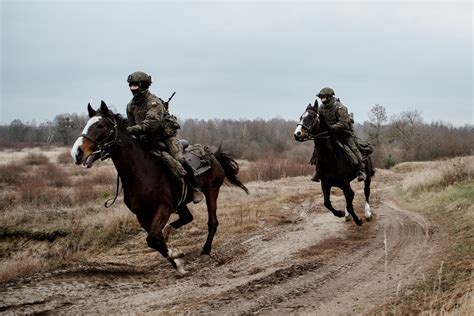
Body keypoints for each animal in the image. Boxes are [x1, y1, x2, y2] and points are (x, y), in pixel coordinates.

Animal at [71, 101, 248, 274]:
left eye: (100, 125)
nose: (77, 153)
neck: (141, 171)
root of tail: (213, 156)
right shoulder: (142, 214)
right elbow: (155, 240)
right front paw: (177, 263)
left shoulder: (163, 207)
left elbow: (153, 238)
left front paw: (177, 255)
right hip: (181, 203)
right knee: (186, 218)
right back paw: (170, 231)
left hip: (212, 191)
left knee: (213, 222)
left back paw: (205, 251)